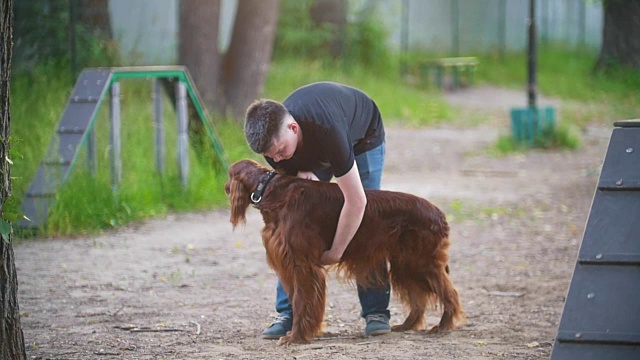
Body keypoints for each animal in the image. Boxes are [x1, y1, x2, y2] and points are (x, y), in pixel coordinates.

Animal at [225, 159, 464, 344]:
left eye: (228, 175)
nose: (226, 187)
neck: (270, 189)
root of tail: (439, 214)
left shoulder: (303, 264)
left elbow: (301, 301)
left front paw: (296, 337)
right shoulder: (290, 263)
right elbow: (295, 299)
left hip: (421, 261)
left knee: (448, 293)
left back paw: (444, 325)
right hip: (404, 263)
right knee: (418, 297)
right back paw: (407, 325)